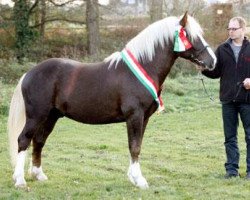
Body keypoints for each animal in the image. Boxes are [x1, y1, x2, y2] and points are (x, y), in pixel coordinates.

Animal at [7, 12, 217, 189]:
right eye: (191, 36)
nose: (212, 61)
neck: (143, 67)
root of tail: (29, 73)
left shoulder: (144, 118)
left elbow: (137, 145)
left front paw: (133, 177)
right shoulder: (135, 116)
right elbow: (134, 147)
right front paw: (139, 180)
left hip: (51, 116)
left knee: (39, 141)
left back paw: (38, 175)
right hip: (36, 116)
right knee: (23, 140)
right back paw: (20, 181)